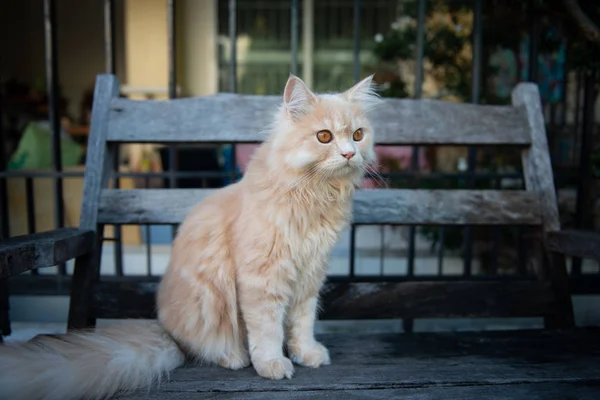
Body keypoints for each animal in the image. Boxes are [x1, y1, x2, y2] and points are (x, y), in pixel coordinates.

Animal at [0, 74, 380, 400]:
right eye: (324, 137)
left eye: (358, 134)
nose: (349, 153)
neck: (314, 197)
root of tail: (166, 331)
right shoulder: (262, 279)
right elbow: (268, 330)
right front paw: (272, 364)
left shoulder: (309, 277)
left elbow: (301, 324)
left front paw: (307, 354)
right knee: (205, 347)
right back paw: (234, 358)